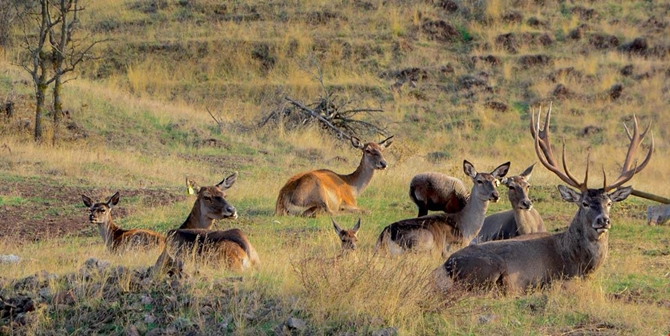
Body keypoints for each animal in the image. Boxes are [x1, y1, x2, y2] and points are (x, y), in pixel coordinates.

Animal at [376, 160, 512, 258]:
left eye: (495, 181)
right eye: (479, 180)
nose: (495, 195)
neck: (466, 227)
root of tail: (386, 235)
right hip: (424, 240)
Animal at [436, 107, 656, 292]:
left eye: (609, 203)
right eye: (584, 203)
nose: (603, 220)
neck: (577, 261)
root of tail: (447, 265)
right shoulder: (556, 278)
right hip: (488, 269)